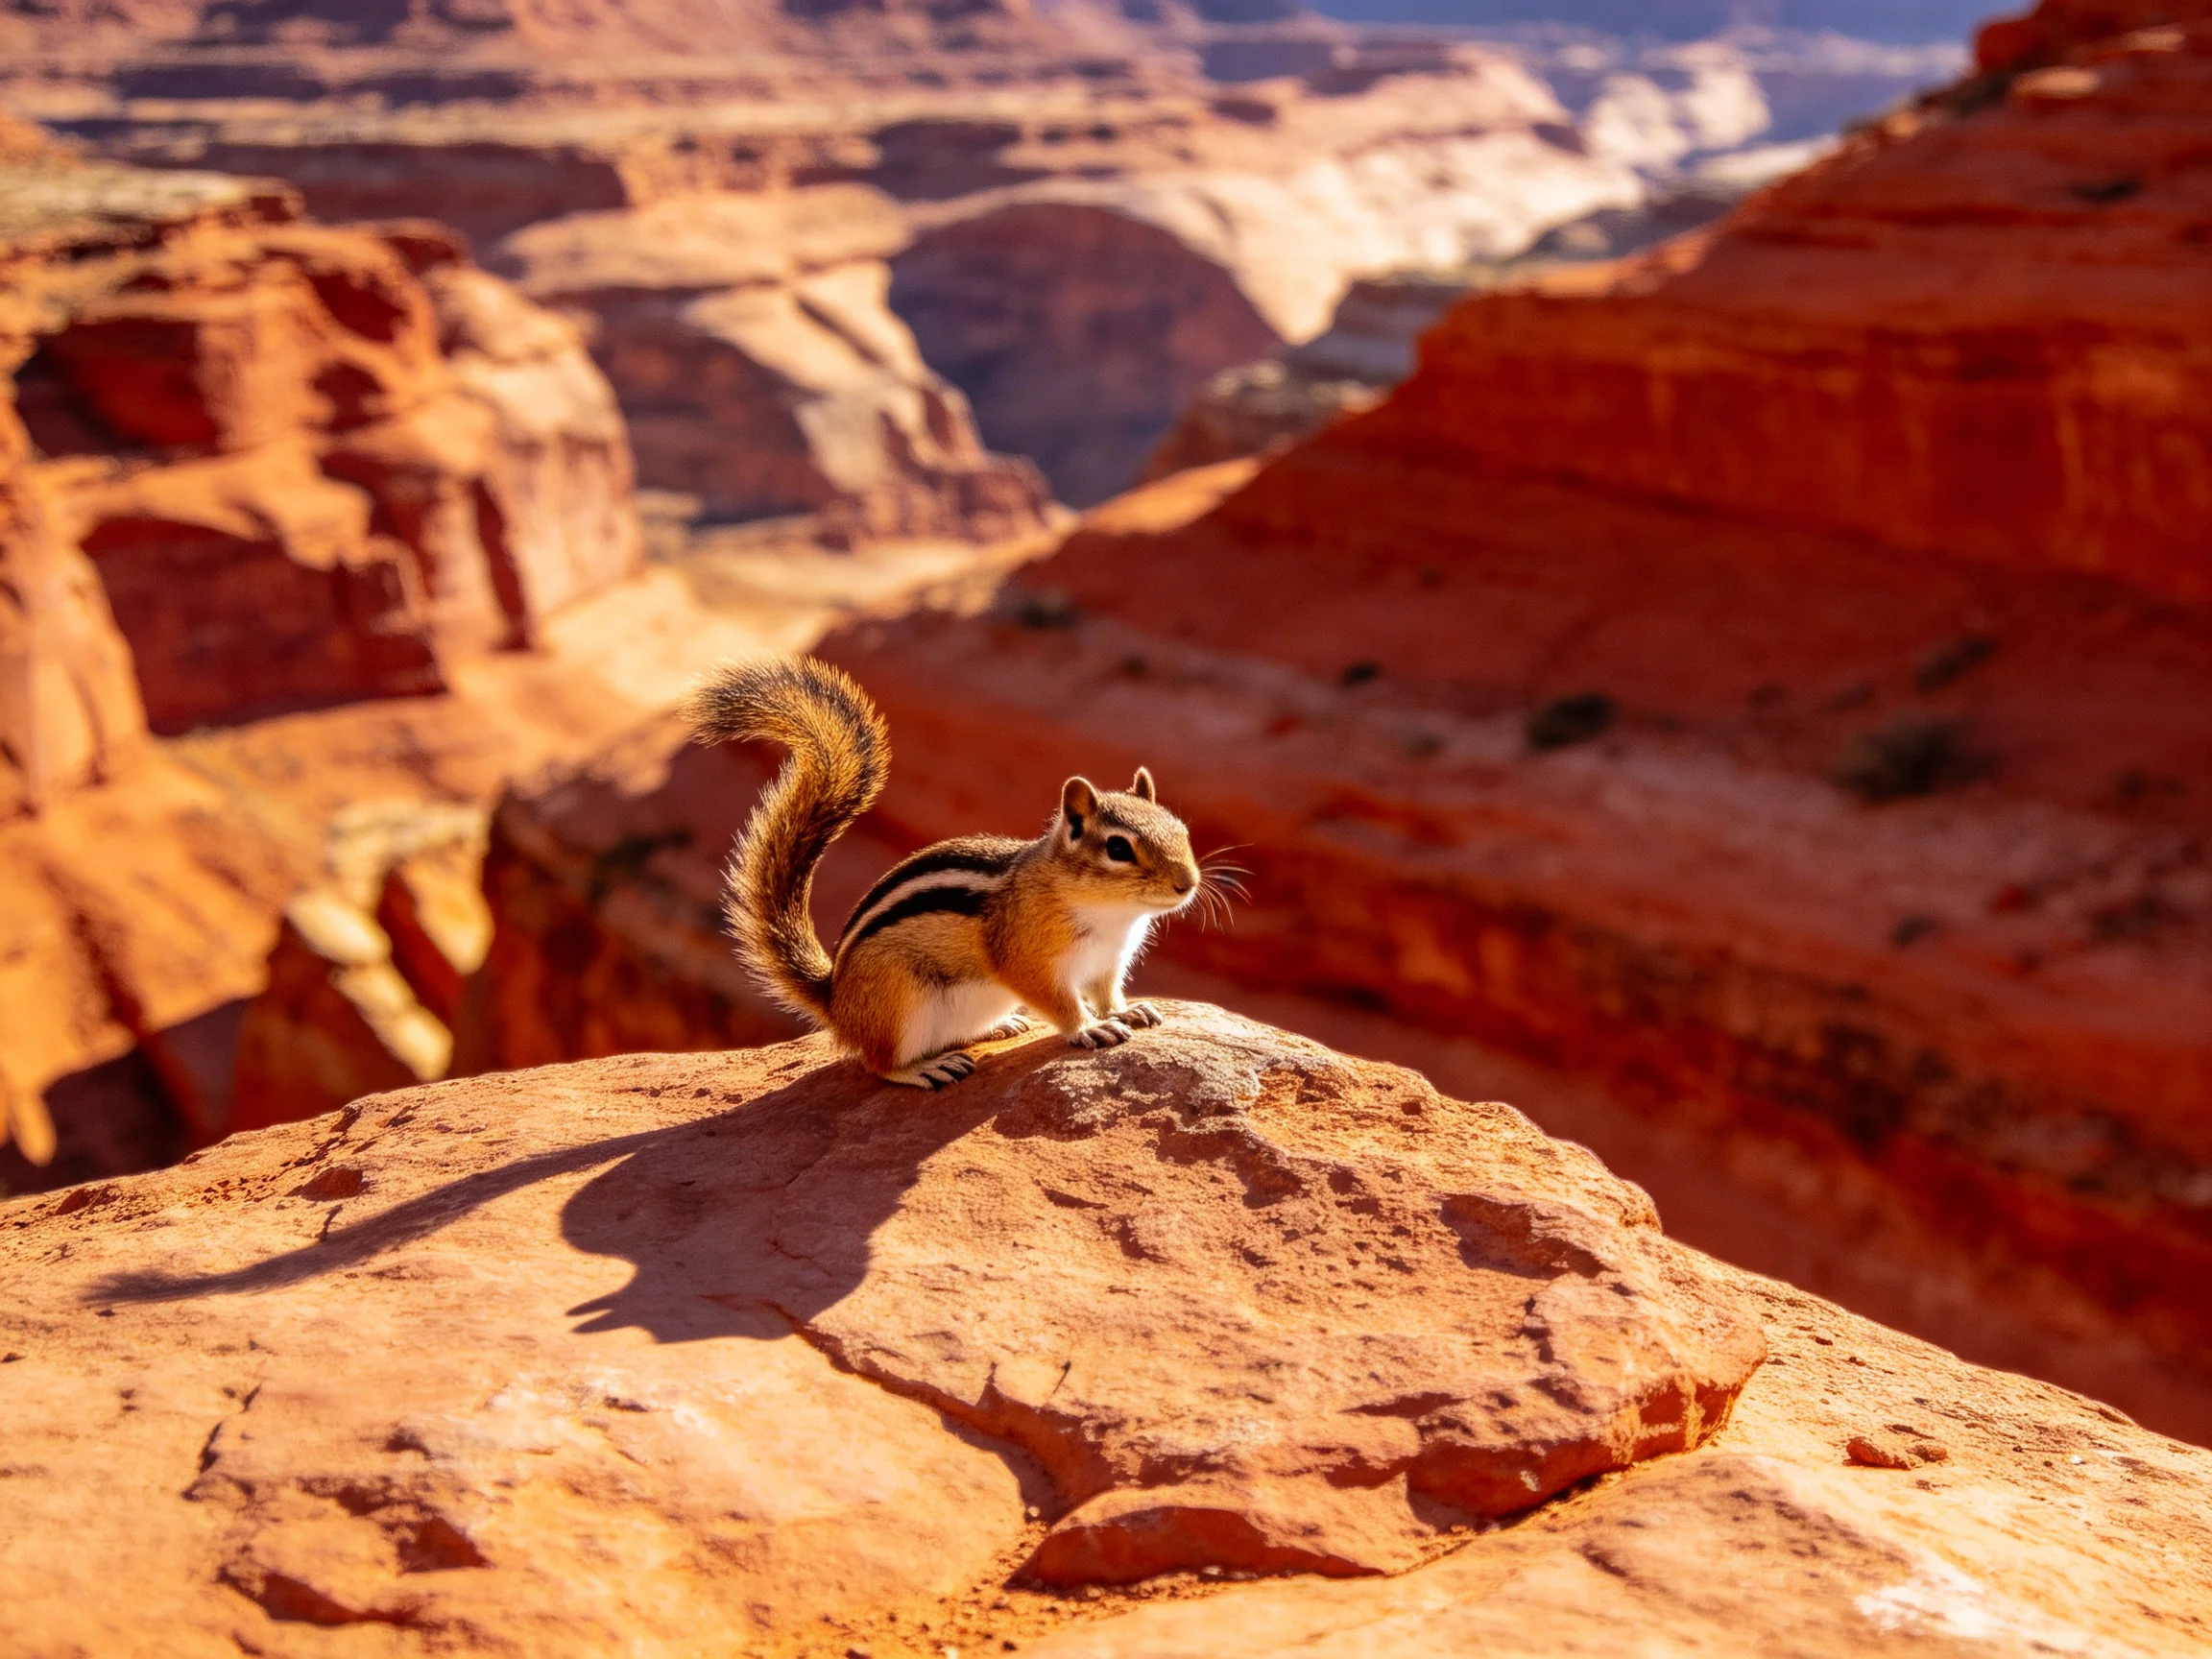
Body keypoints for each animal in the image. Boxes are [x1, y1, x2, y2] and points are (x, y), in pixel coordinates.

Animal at [684, 656, 1207, 1089]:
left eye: (1181, 830)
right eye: (1119, 848)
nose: (1187, 885)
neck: (1112, 915)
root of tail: (836, 1001)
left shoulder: (1107, 961)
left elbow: (1106, 992)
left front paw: (1128, 1011)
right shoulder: (1027, 959)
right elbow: (1062, 1003)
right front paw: (1091, 1028)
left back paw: (999, 1026)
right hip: (900, 1002)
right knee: (877, 1063)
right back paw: (926, 1067)